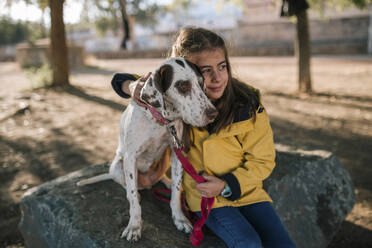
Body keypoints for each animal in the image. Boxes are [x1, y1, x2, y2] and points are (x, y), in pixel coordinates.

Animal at [78, 57, 218, 240]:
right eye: (182, 86)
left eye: (202, 83)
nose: (213, 113)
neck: (159, 121)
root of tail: (147, 183)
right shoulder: (130, 158)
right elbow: (133, 200)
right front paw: (134, 226)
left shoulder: (177, 153)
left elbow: (176, 193)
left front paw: (180, 218)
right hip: (117, 165)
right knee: (127, 187)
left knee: (161, 179)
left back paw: (166, 182)